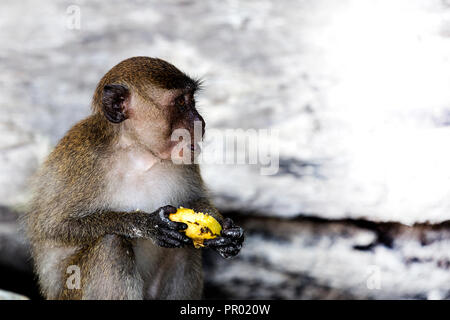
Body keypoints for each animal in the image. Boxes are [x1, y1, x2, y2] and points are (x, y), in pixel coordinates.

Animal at [22, 57, 244, 300]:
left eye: (191, 100)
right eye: (180, 103)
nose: (200, 122)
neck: (138, 152)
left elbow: (194, 201)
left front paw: (227, 230)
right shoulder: (80, 163)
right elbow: (53, 227)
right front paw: (144, 223)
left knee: (183, 250)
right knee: (110, 244)